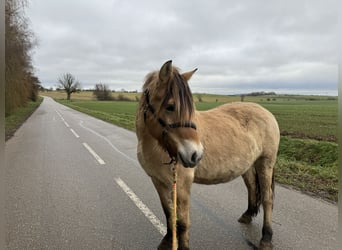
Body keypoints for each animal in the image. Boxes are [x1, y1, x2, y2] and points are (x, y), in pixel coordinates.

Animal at [135, 60, 280, 250]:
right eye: (170, 107)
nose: (195, 155)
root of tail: (267, 112)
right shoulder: (158, 181)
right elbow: (168, 214)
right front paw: (167, 240)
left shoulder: (182, 184)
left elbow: (183, 223)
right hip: (248, 165)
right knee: (251, 187)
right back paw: (247, 215)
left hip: (265, 163)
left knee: (267, 199)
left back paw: (267, 237)